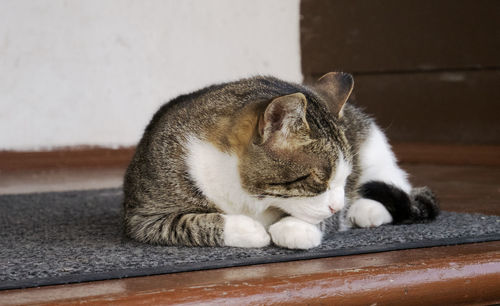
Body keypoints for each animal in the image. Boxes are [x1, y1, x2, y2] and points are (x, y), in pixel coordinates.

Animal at [123, 73, 440, 250]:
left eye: (344, 178)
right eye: (318, 180)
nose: (339, 205)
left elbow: (317, 220)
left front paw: (294, 228)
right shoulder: (144, 217)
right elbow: (189, 224)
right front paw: (249, 230)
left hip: (374, 146)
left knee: (399, 185)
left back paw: (366, 209)